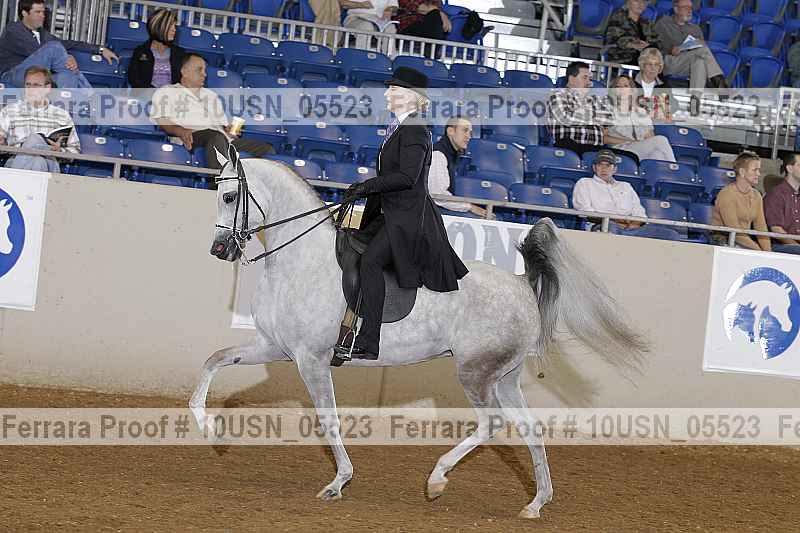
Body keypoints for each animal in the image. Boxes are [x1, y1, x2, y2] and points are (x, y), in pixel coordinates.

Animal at [189, 150, 647, 519]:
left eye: (229, 197)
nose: (219, 250)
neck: (301, 261)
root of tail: (521, 286)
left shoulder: (312, 360)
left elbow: (328, 420)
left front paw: (339, 482)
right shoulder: (275, 348)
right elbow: (214, 359)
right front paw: (209, 428)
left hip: (475, 373)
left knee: (492, 424)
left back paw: (437, 480)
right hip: (505, 377)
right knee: (529, 429)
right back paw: (535, 504)